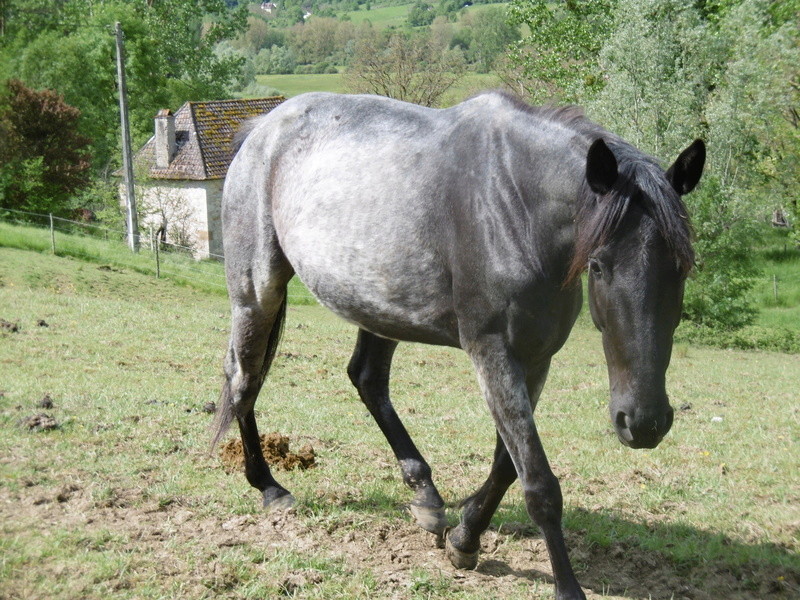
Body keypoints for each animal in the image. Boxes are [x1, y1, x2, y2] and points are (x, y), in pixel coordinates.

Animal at [214, 90, 708, 600]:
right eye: (598, 265)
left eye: (683, 266)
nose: (644, 423)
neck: (515, 205)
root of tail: (261, 128)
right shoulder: (493, 354)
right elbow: (539, 483)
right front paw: (566, 587)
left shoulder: (535, 360)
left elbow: (508, 466)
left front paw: (465, 537)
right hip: (256, 293)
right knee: (244, 377)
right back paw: (270, 487)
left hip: (377, 304)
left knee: (366, 379)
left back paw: (426, 496)